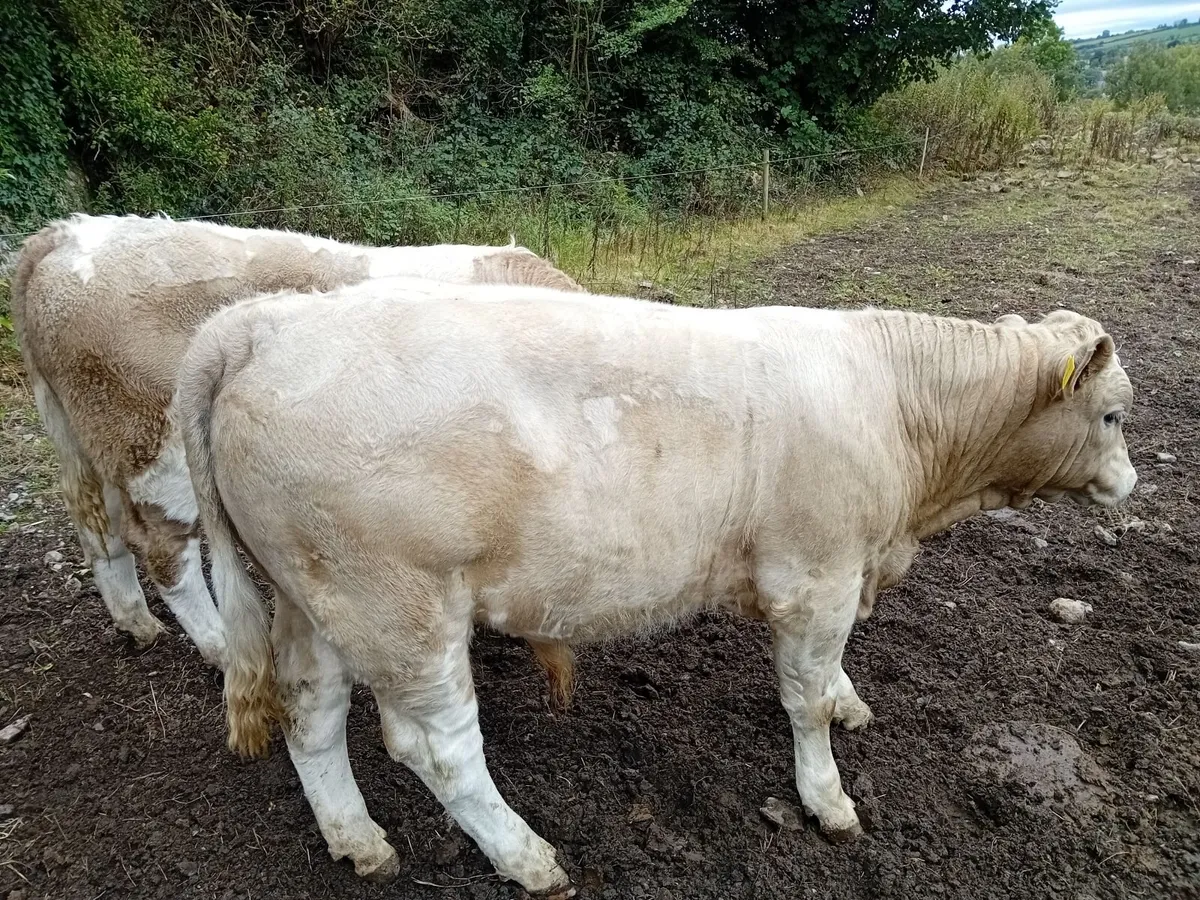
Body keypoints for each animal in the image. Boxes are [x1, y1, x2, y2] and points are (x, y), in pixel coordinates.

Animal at [10, 214, 582, 673]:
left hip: (92, 435)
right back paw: (222, 648)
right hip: (151, 440)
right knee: (162, 546)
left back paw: (136, 622)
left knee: (98, 526)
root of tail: (70, 233)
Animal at [175, 279, 1136, 894]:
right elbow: (804, 702)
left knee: (310, 713)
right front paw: (827, 799)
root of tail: (266, 322)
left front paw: (851, 699)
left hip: (314, 598)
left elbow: (826, 683)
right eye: (1115, 413)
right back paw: (527, 858)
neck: (894, 405)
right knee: (438, 748)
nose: (1130, 481)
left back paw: (358, 839)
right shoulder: (816, 574)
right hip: (400, 608)